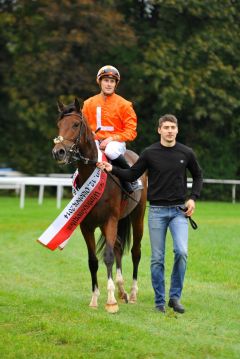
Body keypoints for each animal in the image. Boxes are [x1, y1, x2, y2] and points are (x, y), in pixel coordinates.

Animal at [51, 99, 147, 316]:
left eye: (76, 124)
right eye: (59, 124)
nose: (58, 152)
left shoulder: (109, 220)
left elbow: (108, 257)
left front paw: (110, 302)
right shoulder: (86, 225)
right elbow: (93, 260)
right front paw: (95, 298)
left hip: (137, 216)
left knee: (135, 251)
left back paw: (133, 293)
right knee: (118, 247)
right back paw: (121, 290)